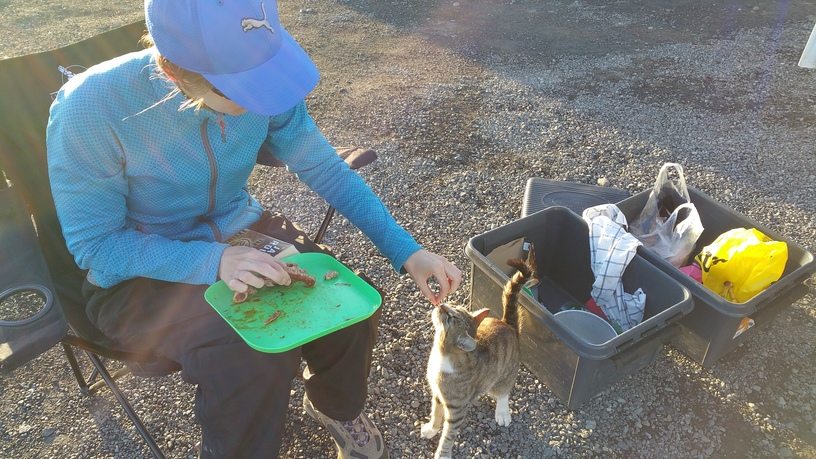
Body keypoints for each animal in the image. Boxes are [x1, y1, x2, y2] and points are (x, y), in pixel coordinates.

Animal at [420, 253, 536, 458]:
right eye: (453, 306)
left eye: (450, 318)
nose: (442, 305)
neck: (441, 356)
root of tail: (508, 324)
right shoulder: (437, 394)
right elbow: (435, 413)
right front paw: (431, 429)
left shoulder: (456, 410)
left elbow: (448, 435)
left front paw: (442, 453)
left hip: (504, 374)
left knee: (503, 391)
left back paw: (502, 412)